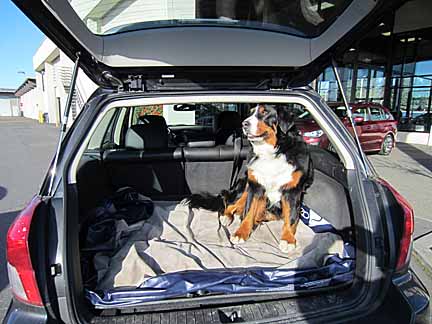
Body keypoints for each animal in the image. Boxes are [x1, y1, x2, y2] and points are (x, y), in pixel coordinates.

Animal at [187, 104, 312, 253]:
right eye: (250, 113)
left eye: (265, 113)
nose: (244, 124)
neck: (272, 152)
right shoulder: (255, 185)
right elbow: (249, 211)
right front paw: (241, 233)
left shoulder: (292, 190)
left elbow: (291, 216)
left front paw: (288, 239)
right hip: (244, 186)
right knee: (231, 204)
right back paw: (226, 217)